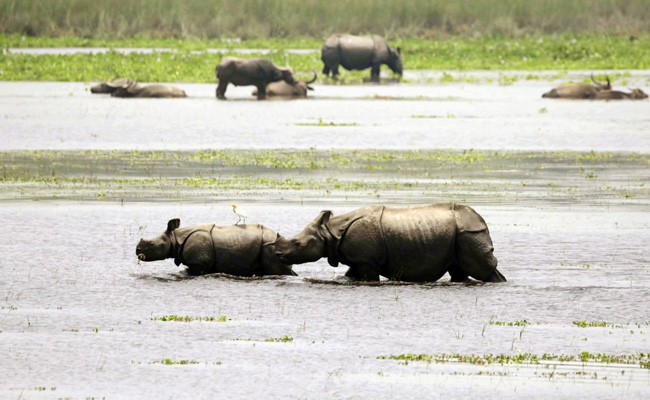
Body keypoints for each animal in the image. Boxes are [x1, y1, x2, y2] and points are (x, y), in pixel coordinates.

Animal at [274, 203, 506, 283]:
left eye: (296, 243)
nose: (278, 255)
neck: (330, 232)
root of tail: (480, 220)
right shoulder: (359, 260)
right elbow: (349, 275)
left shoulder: (366, 262)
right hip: (460, 235)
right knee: (458, 270)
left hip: (470, 234)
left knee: (482, 270)